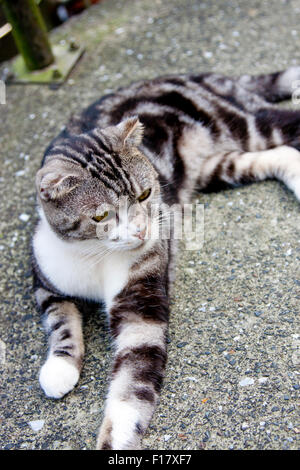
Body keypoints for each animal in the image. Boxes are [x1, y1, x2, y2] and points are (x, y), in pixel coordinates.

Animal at [31, 67, 300, 448]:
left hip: (242, 125)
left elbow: (132, 380)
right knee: (281, 154)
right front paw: (59, 367)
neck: (95, 256)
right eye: (101, 215)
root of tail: (191, 75)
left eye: (145, 194)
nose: (142, 231)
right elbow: (60, 319)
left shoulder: (139, 303)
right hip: (216, 166)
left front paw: (116, 438)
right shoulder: (45, 278)